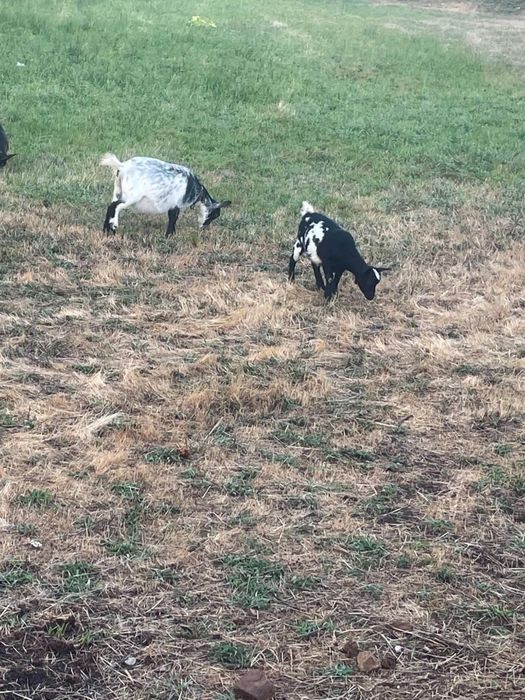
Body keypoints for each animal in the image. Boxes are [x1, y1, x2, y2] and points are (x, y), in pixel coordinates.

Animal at [100, 154, 231, 236]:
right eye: (215, 214)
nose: (204, 228)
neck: (195, 190)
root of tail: (122, 166)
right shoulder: (175, 204)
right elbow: (173, 218)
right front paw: (170, 235)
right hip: (131, 196)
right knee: (116, 206)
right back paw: (114, 226)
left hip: (118, 191)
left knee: (111, 206)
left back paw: (107, 231)